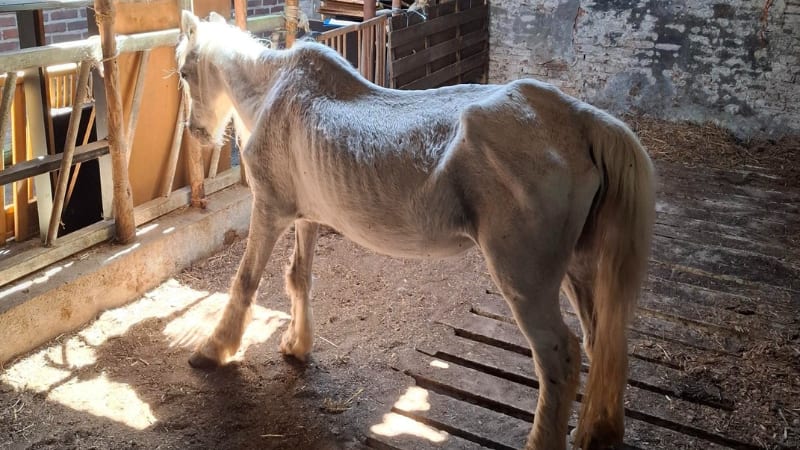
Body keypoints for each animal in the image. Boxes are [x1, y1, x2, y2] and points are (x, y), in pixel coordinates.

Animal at [176, 11, 655, 450]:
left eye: (184, 71)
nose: (196, 132)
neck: (274, 91)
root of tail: (579, 121)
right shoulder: (305, 216)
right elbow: (299, 278)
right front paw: (296, 345)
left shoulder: (271, 210)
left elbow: (245, 282)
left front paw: (213, 350)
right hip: (578, 269)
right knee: (600, 341)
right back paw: (596, 432)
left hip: (525, 279)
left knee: (560, 356)